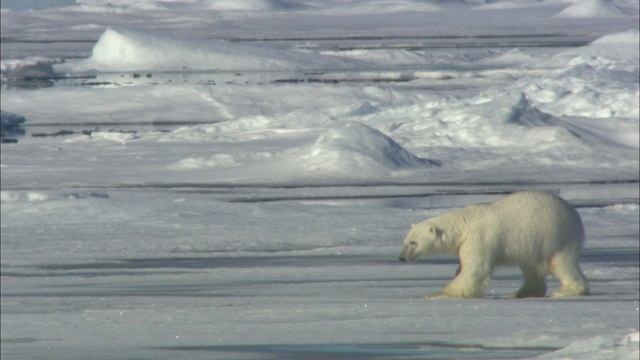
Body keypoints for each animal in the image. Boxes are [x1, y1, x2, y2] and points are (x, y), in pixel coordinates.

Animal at [400, 191, 592, 298]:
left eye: (413, 242)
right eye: (405, 242)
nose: (401, 257)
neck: (464, 224)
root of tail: (575, 214)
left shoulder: (479, 239)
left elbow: (475, 269)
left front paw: (439, 294)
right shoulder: (466, 244)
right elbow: (464, 267)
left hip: (557, 236)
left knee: (560, 263)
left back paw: (566, 290)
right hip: (533, 244)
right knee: (530, 267)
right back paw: (521, 292)